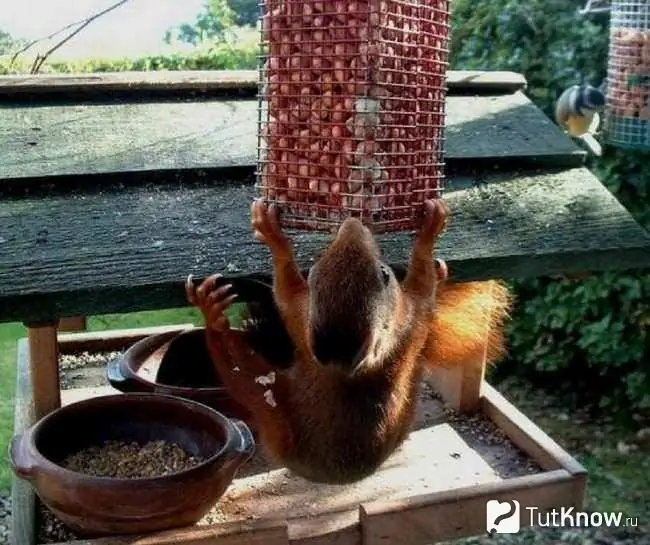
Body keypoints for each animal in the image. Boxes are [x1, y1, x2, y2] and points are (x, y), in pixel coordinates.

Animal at [185, 197, 508, 484]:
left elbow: (286, 289)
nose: (352, 222)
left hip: (267, 396)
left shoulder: (399, 319)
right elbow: (423, 286)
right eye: (317, 267)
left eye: (384, 273)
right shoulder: (408, 321)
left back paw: (213, 318)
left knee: (236, 367)